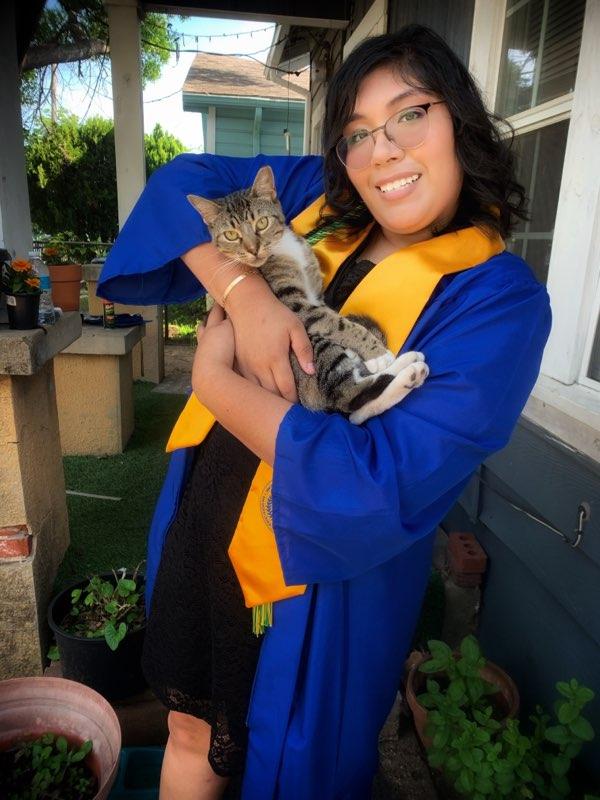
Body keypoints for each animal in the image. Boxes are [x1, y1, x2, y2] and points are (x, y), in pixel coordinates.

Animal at [188, 164, 426, 424]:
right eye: (231, 235)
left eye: (262, 223)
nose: (253, 250)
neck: (284, 249)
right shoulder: (292, 303)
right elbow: (335, 323)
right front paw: (376, 352)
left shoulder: (316, 294)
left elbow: (333, 316)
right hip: (311, 346)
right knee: (349, 398)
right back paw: (409, 371)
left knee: (353, 413)